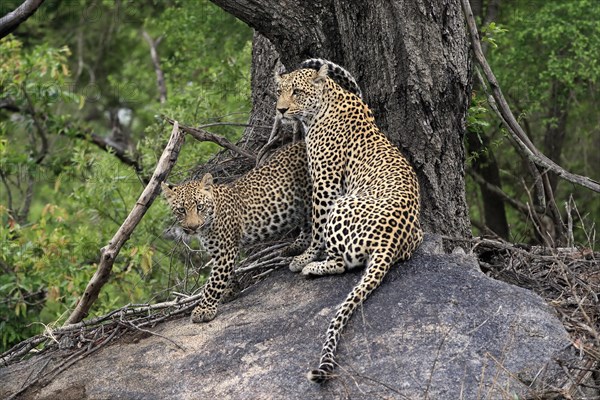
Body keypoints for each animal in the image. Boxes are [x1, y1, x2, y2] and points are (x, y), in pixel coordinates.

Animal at [164, 142, 314, 324]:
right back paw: (294, 248)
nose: (193, 227)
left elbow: (214, 282)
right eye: (181, 210)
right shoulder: (219, 251)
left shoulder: (225, 250)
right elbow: (225, 275)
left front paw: (204, 309)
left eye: (200, 207)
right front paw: (231, 290)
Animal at [276, 58, 422, 382]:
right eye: (279, 92)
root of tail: (390, 242)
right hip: (414, 235)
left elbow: (316, 224)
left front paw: (303, 255)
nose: (280, 110)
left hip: (343, 205)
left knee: (343, 263)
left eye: (296, 92)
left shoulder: (326, 183)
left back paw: (312, 267)